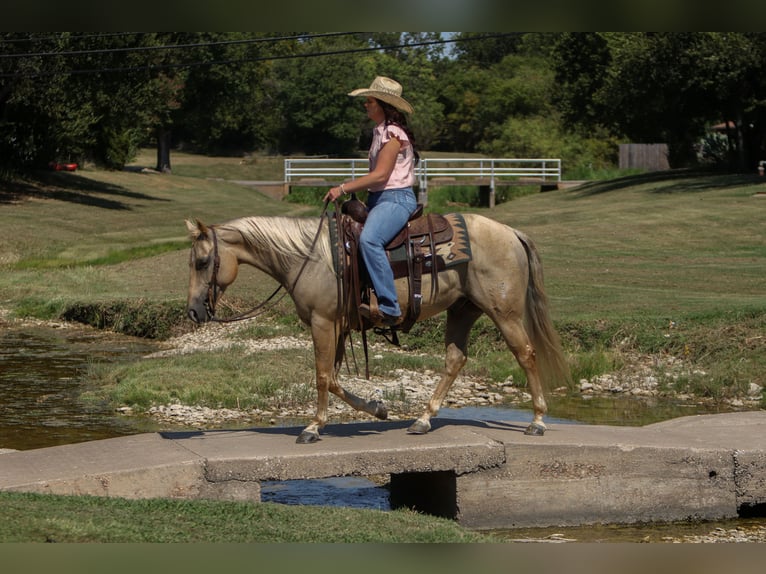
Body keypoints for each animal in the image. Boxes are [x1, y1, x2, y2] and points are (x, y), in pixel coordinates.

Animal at [185, 211, 570, 444]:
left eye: (202, 262)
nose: (192, 311)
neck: (308, 257)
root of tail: (511, 233)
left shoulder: (323, 323)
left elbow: (322, 376)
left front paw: (312, 427)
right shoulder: (336, 326)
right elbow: (334, 378)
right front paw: (378, 409)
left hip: (504, 312)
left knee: (525, 354)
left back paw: (537, 421)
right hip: (463, 310)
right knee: (455, 360)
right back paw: (422, 419)